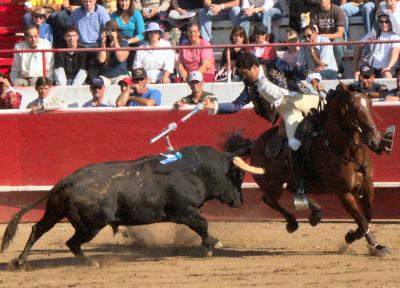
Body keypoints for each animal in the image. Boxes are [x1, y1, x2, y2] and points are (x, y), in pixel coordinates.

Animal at [0, 145, 247, 266]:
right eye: (237, 176)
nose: (239, 201)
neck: (196, 171)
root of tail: (68, 180)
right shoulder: (184, 211)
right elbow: (202, 225)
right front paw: (211, 245)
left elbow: (202, 225)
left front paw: (212, 243)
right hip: (91, 225)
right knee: (72, 242)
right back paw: (90, 262)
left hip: (54, 212)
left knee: (37, 230)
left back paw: (20, 261)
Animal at [233, 84, 390, 256]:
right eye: (354, 108)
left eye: (370, 104)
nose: (375, 141)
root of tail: (255, 145)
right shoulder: (343, 192)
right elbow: (361, 220)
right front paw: (350, 237)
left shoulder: (368, 186)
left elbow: (367, 217)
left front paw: (376, 245)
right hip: (272, 186)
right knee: (269, 200)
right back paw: (293, 223)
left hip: (292, 181)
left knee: (293, 190)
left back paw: (315, 213)